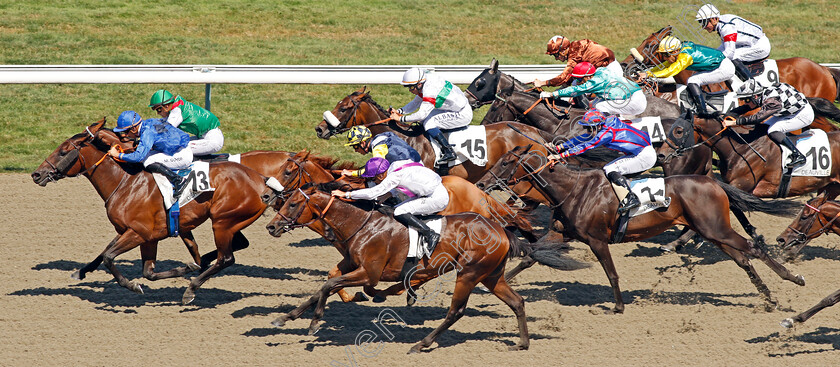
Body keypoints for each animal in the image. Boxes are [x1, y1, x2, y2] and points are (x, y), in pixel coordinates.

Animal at [31, 118, 270, 304]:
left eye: (63, 151)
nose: (36, 174)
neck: (125, 182)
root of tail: (260, 179)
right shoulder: (141, 235)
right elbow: (146, 271)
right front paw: (186, 267)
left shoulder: (139, 232)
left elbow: (109, 257)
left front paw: (131, 285)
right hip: (229, 221)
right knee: (236, 246)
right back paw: (198, 267)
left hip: (222, 222)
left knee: (226, 258)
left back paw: (191, 289)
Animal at [266, 183, 580, 354]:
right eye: (284, 201)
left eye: (293, 203)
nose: (271, 226)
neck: (361, 224)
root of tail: (502, 231)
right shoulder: (352, 265)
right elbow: (324, 286)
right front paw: (286, 317)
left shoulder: (368, 272)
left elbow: (331, 285)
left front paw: (314, 323)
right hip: (491, 276)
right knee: (517, 302)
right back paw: (522, 343)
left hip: (468, 273)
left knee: (456, 311)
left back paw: (421, 343)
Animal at [476, 145, 804, 314]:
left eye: (505, 162)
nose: (480, 183)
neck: (573, 190)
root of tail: (715, 182)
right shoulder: (562, 232)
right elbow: (530, 257)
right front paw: (492, 286)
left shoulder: (596, 240)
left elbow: (611, 273)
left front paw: (619, 306)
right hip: (711, 230)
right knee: (742, 258)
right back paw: (768, 298)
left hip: (716, 229)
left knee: (752, 248)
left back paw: (792, 279)